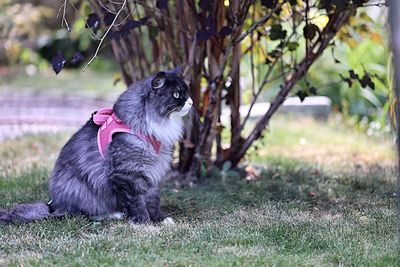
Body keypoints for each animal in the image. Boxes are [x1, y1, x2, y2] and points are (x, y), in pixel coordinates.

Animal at [0, 68, 194, 224]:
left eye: (186, 92)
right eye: (177, 95)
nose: (191, 102)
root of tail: (54, 206)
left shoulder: (151, 174)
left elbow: (153, 201)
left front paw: (160, 220)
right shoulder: (128, 174)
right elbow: (138, 203)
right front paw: (145, 223)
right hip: (81, 189)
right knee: (82, 213)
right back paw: (114, 215)